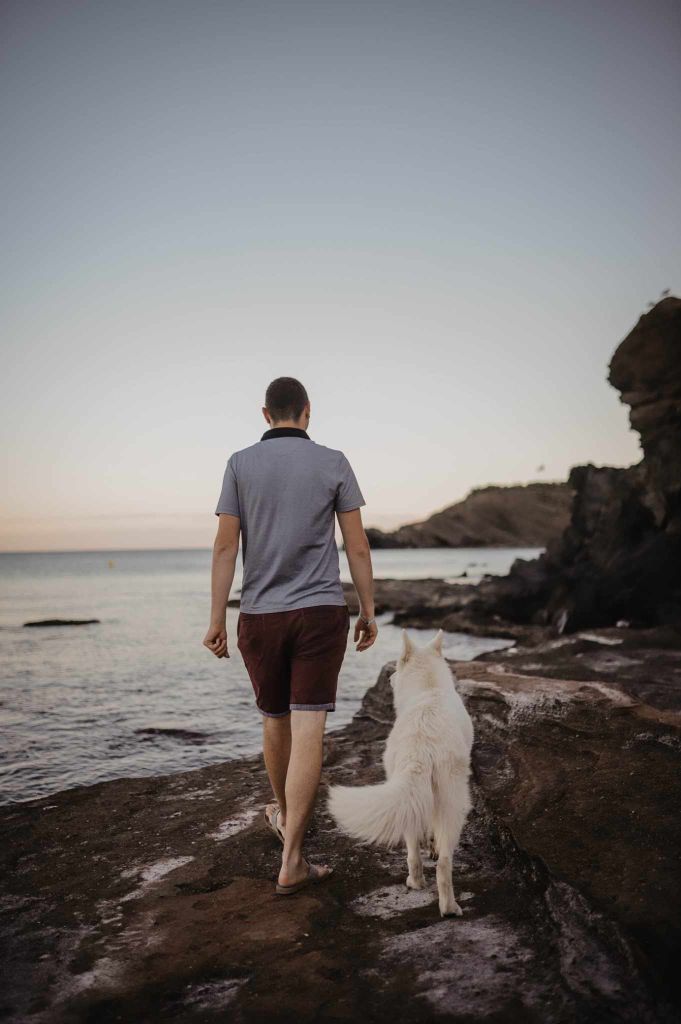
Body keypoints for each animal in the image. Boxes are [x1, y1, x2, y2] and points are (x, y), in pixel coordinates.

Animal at [327, 626, 473, 917]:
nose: (391, 677)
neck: (429, 689)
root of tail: (421, 746)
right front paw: (433, 846)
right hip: (454, 802)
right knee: (444, 863)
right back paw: (449, 906)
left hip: (411, 790)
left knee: (413, 850)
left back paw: (416, 882)